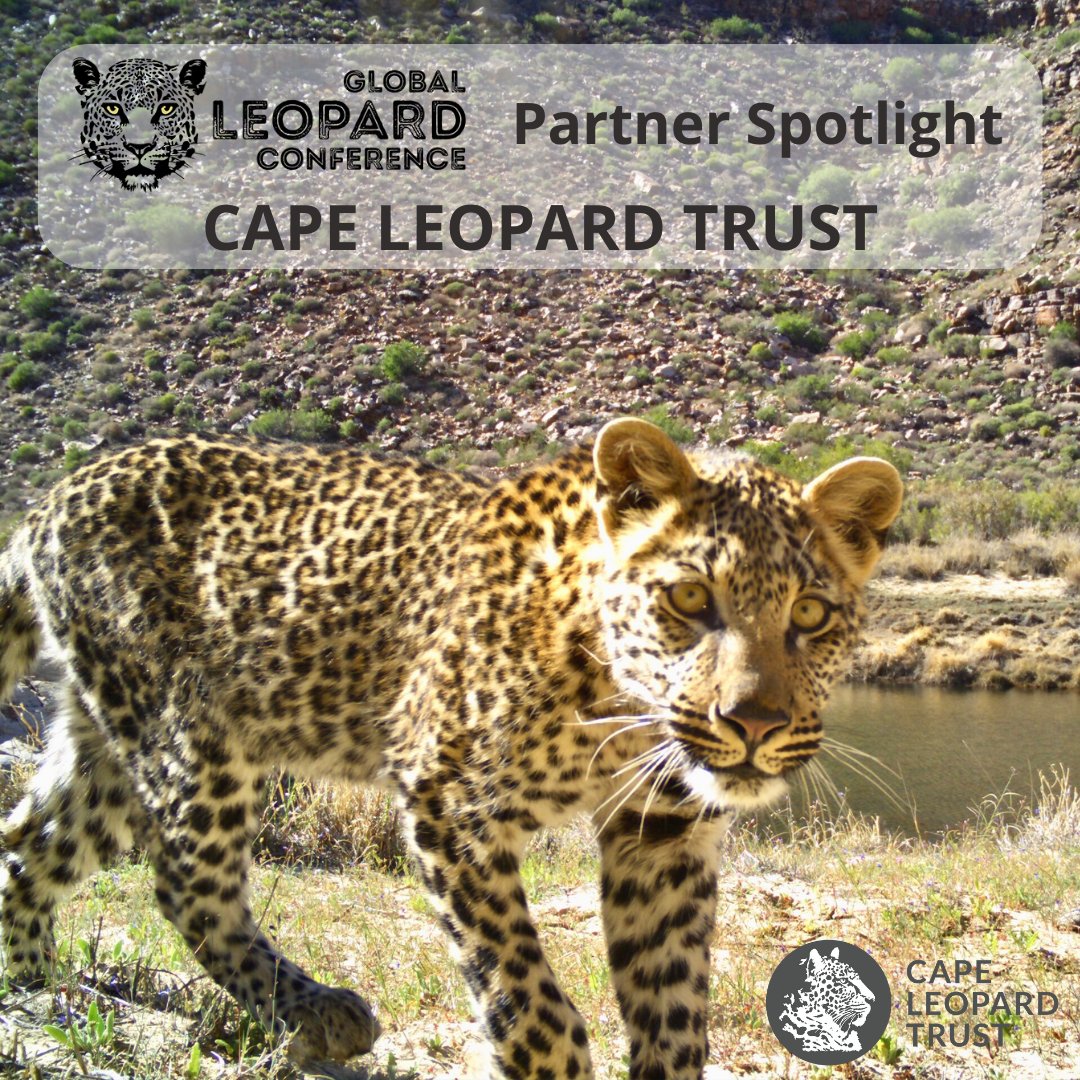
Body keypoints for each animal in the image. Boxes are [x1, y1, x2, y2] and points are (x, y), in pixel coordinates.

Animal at [0, 418, 901, 1079]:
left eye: (811, 614)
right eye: (688, 598)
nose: (754, 724)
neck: (619, 710)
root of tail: (49, 503)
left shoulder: (663, 834)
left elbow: (670, 1001)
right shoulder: (448, 799)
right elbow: (522, 991)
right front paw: (552, 1059)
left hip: (103, 737)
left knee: (30, 844)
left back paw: (35, 986)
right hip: (188, 731)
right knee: (188, 880)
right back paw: (315, 1011)